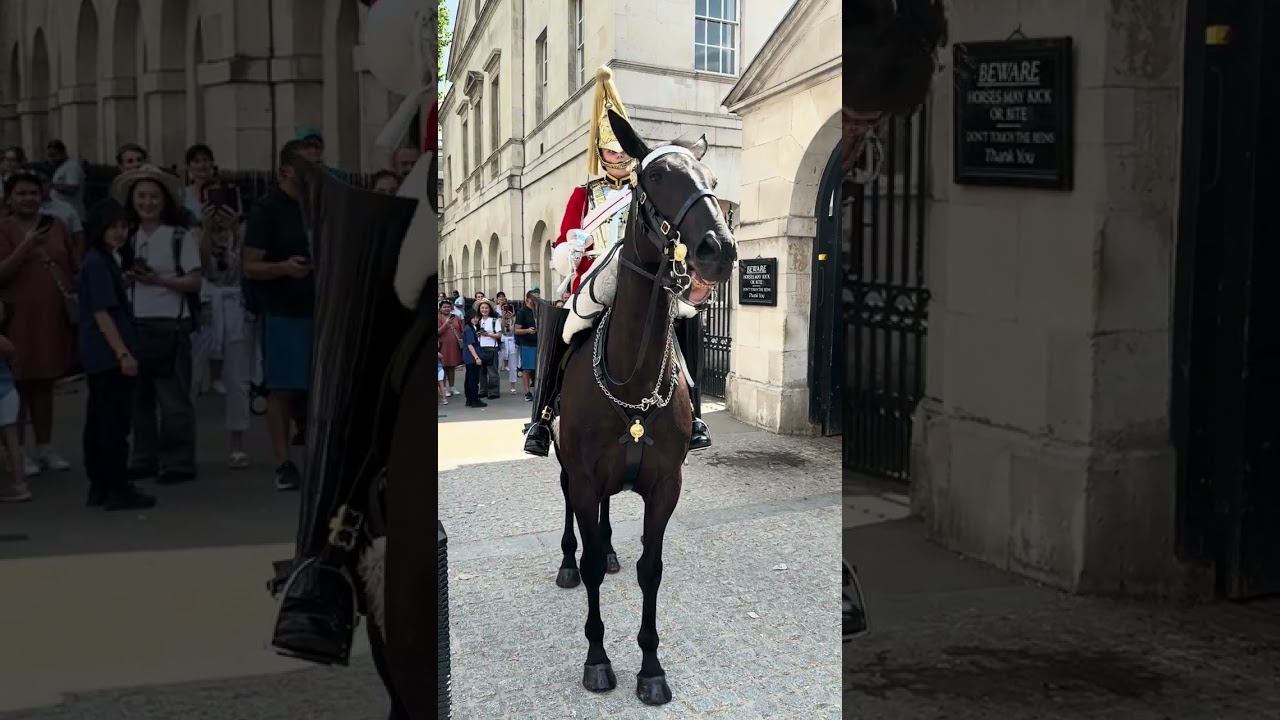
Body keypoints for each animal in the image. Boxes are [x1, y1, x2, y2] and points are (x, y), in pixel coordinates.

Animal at [550, 109, 738, 706]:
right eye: (655, 177)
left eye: (712, 179)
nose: (719, 248)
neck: (632, 380)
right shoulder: (586, 476)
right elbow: (589, 565)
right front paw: (597, 658)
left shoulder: (664, 486)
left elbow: (650, 569)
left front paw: (651, 667)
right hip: (566, 468)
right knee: (573, 520)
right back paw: (567, 560)